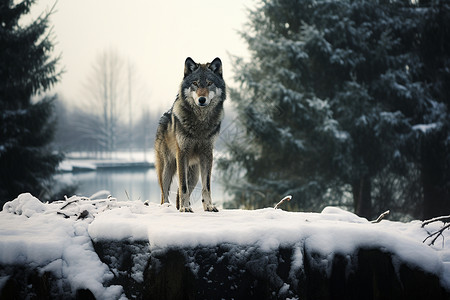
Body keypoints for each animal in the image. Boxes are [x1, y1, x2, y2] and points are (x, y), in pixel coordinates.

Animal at [155, 56, 225, 211]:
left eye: (209, 83)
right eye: (195, 83)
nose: (202, 99)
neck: (200, 122)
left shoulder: (207, 154)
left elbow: (207, 186)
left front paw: (208, 206)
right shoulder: (182, 153)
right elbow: (183, 187)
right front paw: (185, 208)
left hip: (194, 175)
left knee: (177, 194)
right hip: (167, 168)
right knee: (164, 195)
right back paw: (168, 207)